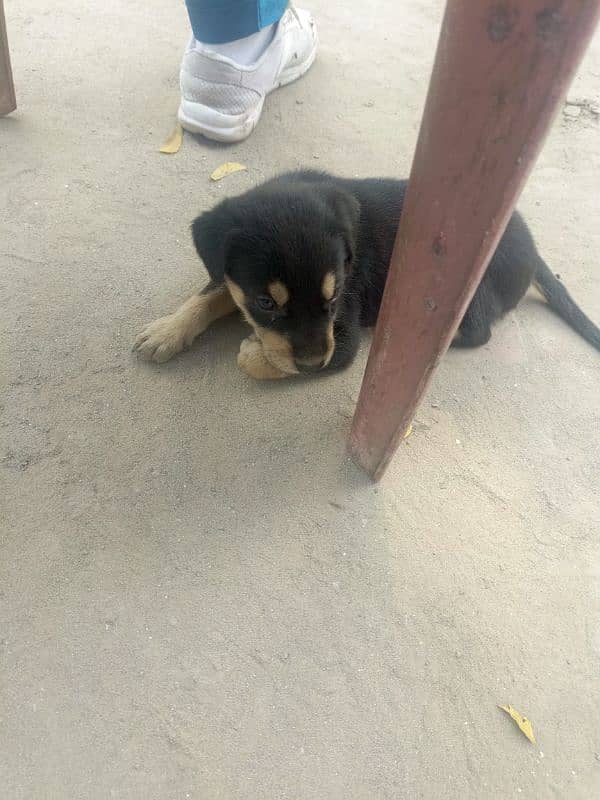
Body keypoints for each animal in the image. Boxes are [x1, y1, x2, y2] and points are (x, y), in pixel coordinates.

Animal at [135, 169, 600, 376]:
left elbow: (256, 360)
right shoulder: (229, 272)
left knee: (477, 331)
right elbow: (212, 292)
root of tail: (534, 250)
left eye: (335, 296)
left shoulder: (342, 339)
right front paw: (166, 331)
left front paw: (255, 351)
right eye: (266, 301)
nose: (314, 363)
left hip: (468, 292)